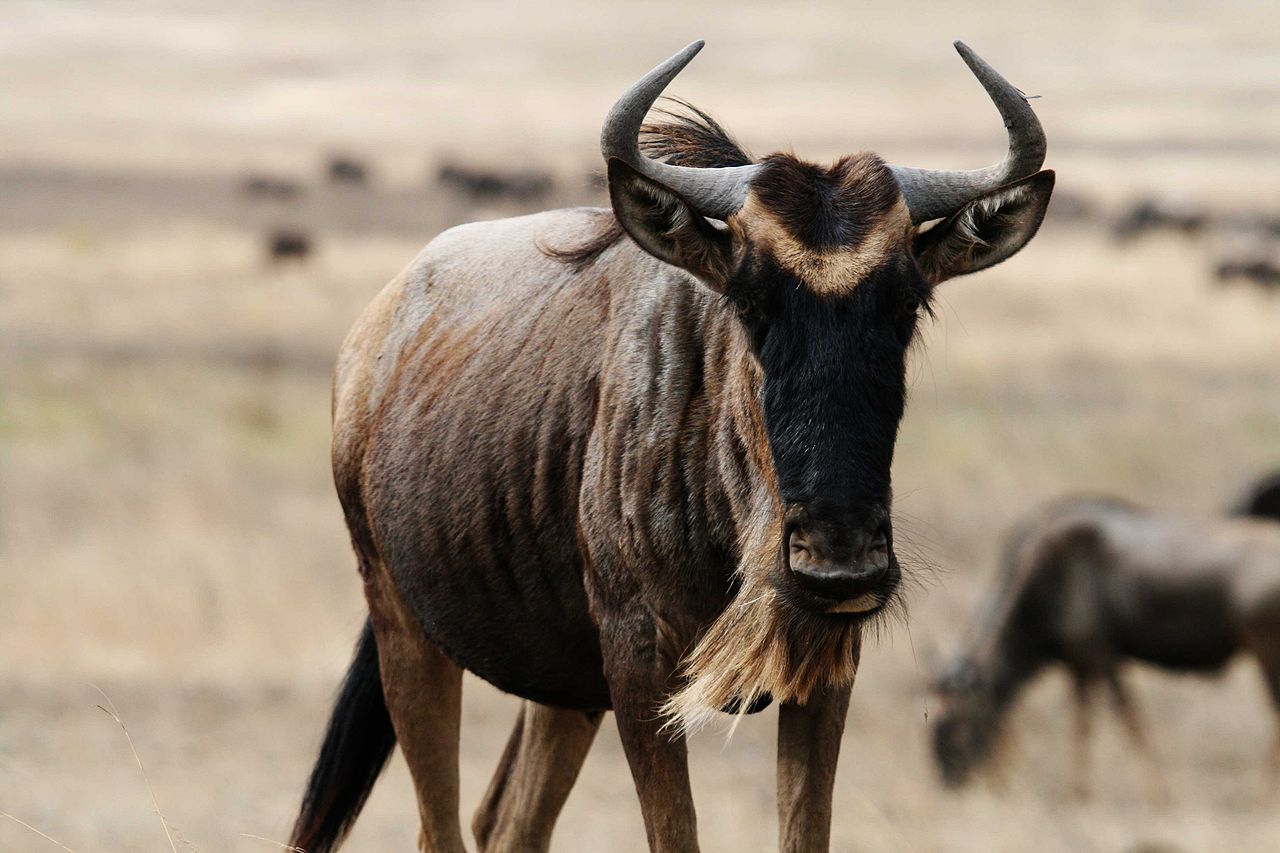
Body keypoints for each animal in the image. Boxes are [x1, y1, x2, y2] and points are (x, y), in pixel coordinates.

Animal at [290, 40, 1054, 852]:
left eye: (906, 304)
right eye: (750, 302)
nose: (840, 558)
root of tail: (372, 333)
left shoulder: (823, 667)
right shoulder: (638, 665)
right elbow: (674, 832)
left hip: (562, 685)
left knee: (507, 821)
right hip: (407, 631)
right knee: (441, 825)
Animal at [932, 497, 1280, 800]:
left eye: (954, 730)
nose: (949, 786)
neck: (1048, 581)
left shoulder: (1103, 660)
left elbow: (1125, 724)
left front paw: (1157, 796)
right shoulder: (1081, 668)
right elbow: (1085, 725)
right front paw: (1077, 794)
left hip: (1267, 655)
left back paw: (1260, 798)